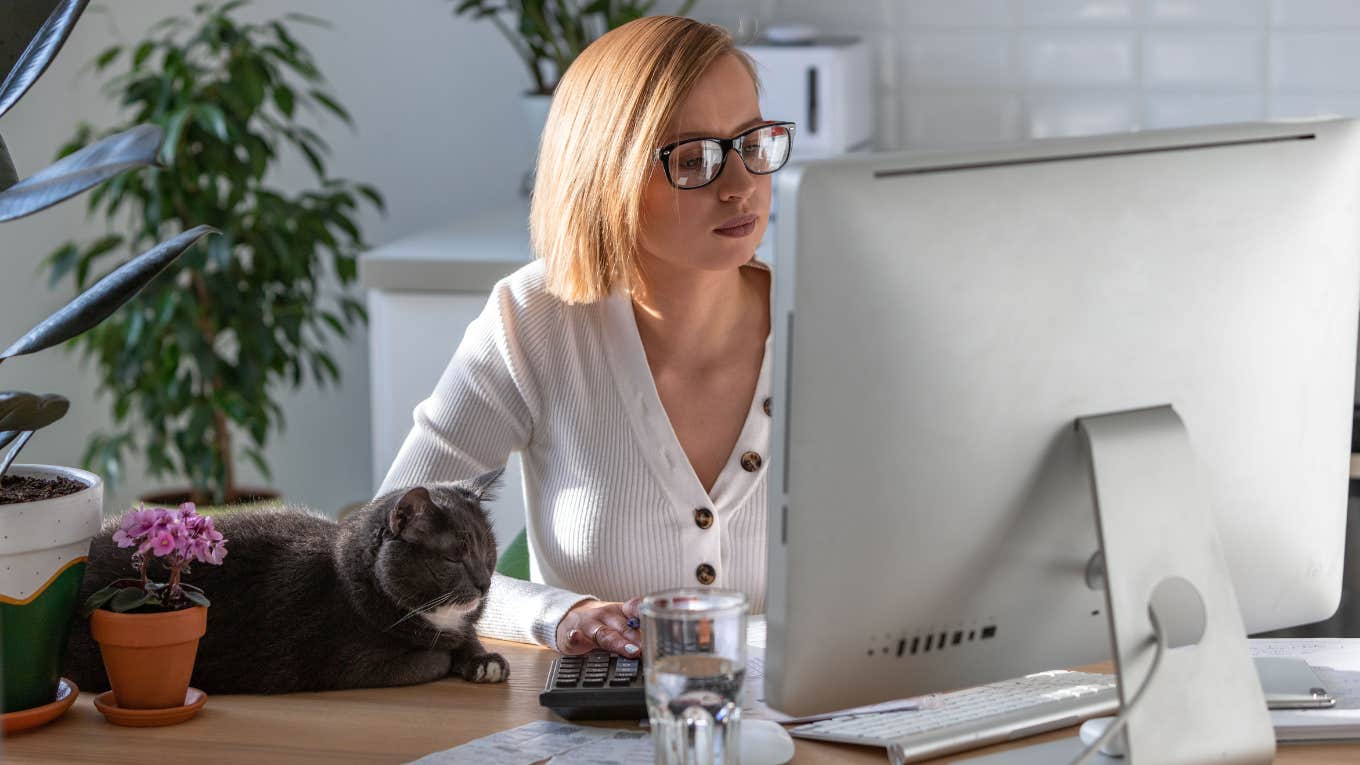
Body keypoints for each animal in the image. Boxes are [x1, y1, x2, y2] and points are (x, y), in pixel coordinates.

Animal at [63, 468, 511, 694]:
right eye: (453, 557)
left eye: (488, 552)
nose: (485, 583)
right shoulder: (357, 663)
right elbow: (432, 659)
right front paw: (454, 655)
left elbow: (465, 638)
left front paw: (483, 658)